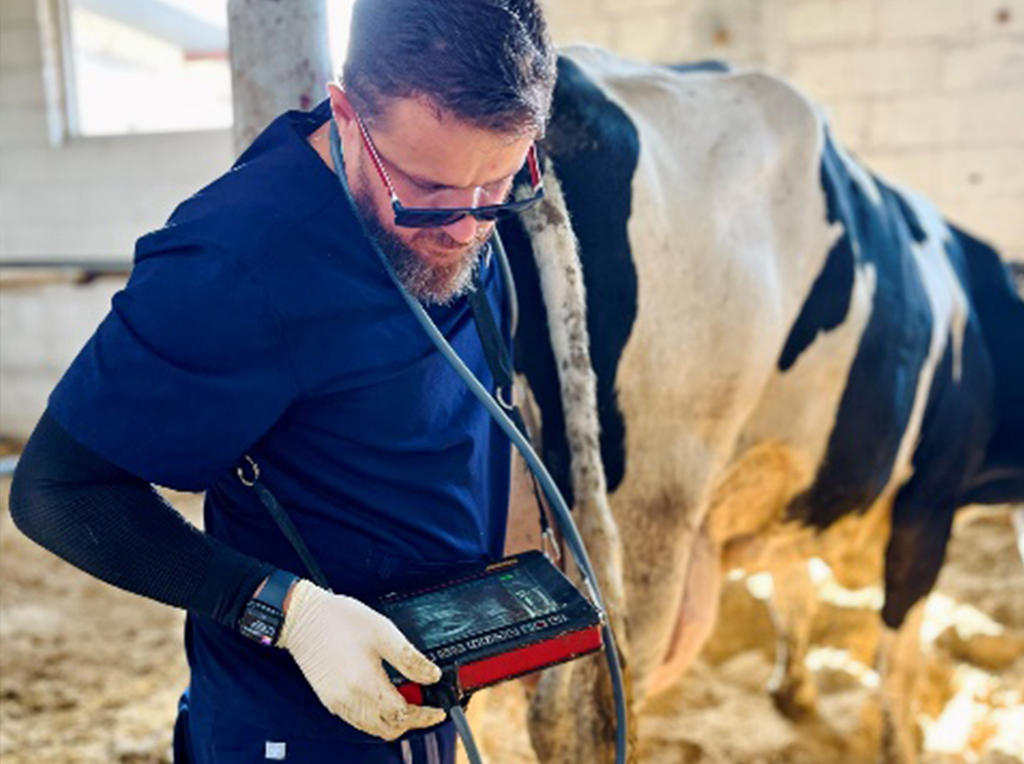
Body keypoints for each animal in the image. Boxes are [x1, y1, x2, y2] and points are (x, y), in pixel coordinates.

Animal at [496, 44, 1024, 764]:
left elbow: (793, 588)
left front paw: (794, 691)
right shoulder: (930, 498)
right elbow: (897, 650)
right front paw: (898, 742)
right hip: (646, 515)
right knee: (575, 708)